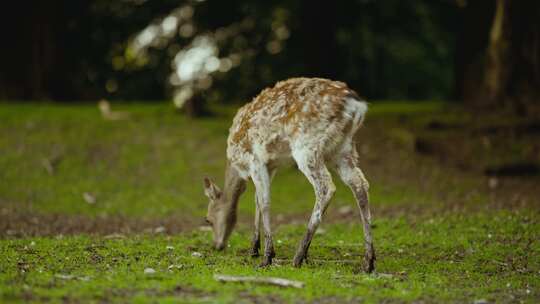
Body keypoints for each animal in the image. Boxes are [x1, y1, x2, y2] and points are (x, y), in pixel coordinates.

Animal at [202, 77, 376, 272]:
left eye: (208, 220)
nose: (216, 246)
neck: (237, 166)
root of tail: (357, 105)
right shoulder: (271, 165)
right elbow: (257, 200)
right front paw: (254, 248)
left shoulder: (255, 160)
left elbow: (264, 202)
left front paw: (267, 256)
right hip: (343, 149)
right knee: (360, 183)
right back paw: (368, 261)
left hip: (307, 146)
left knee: (326, 187)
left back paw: (298, 256)